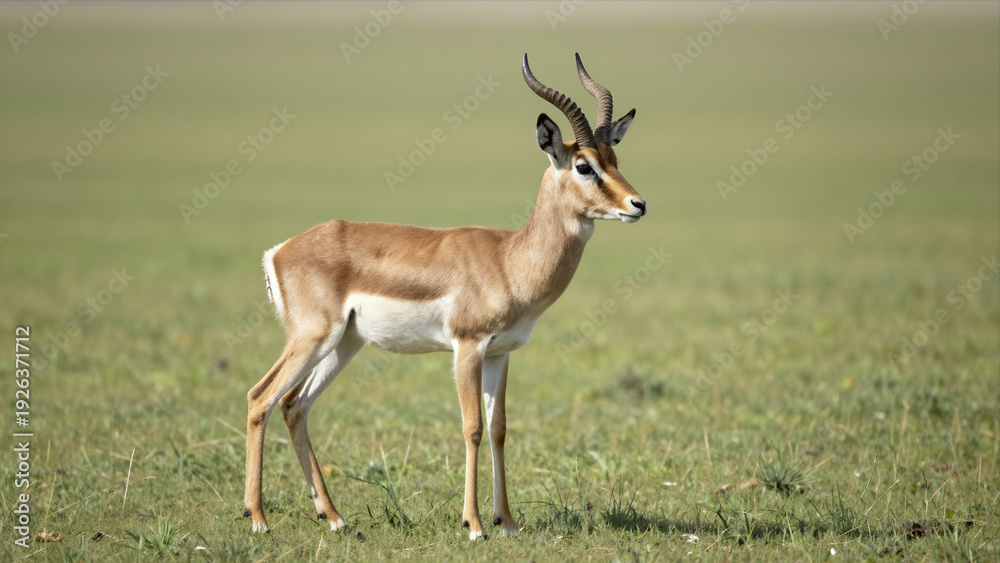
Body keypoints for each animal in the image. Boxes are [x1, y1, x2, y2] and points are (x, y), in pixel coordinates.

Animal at [243, 53, 646, 540]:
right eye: (584, 166)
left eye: (615, 157)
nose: (637, 205)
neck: (508, 259)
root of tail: (279, 251)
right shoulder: (467, 347)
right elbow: (471, 427)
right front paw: (474, 524)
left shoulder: (500, 354)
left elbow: (498, 428)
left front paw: (507, 522)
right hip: (313, 338)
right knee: (260, 398)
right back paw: (258, 519)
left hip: (344, 344)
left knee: (294, 405)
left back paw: (334, 517)